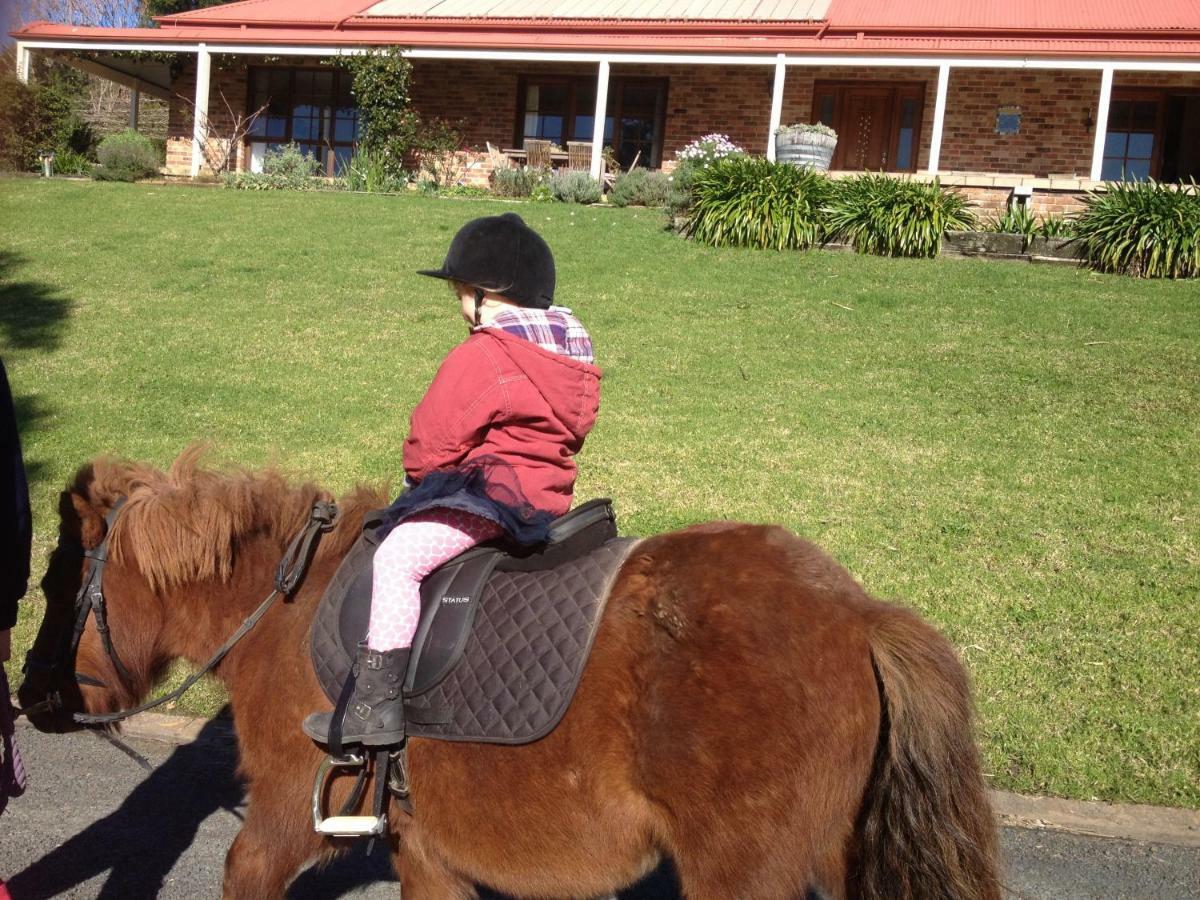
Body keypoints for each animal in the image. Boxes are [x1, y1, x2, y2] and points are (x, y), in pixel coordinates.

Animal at [18, 451, 1003, 900]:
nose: (28, 698)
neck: (289, 605)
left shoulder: (284, 818)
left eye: (57, 580)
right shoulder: (429, 851)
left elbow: (244, 870)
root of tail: (860, 612)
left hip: (741, 875)